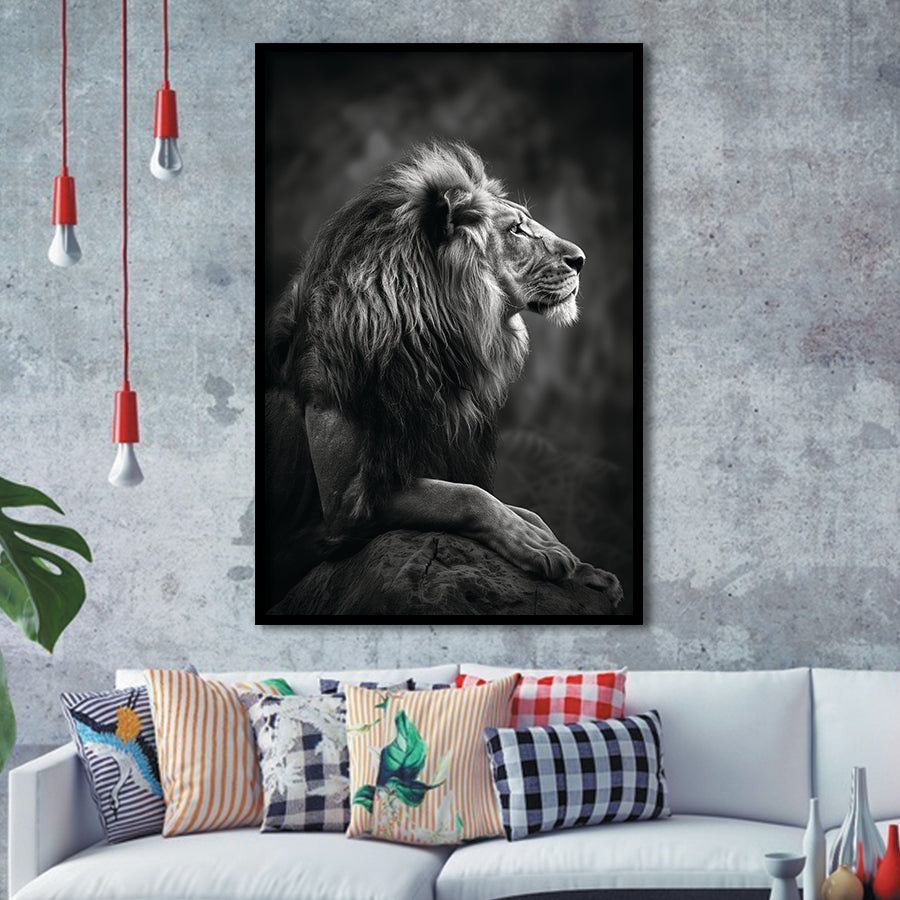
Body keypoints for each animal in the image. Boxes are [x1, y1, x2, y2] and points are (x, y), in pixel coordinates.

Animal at [265, 140, 623, 609]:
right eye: (517, 230)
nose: (581, 260)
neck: (432, 343)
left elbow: (524, 509)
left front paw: (581, 566)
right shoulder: (344, 506)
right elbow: (468, 497)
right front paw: (537, 547)